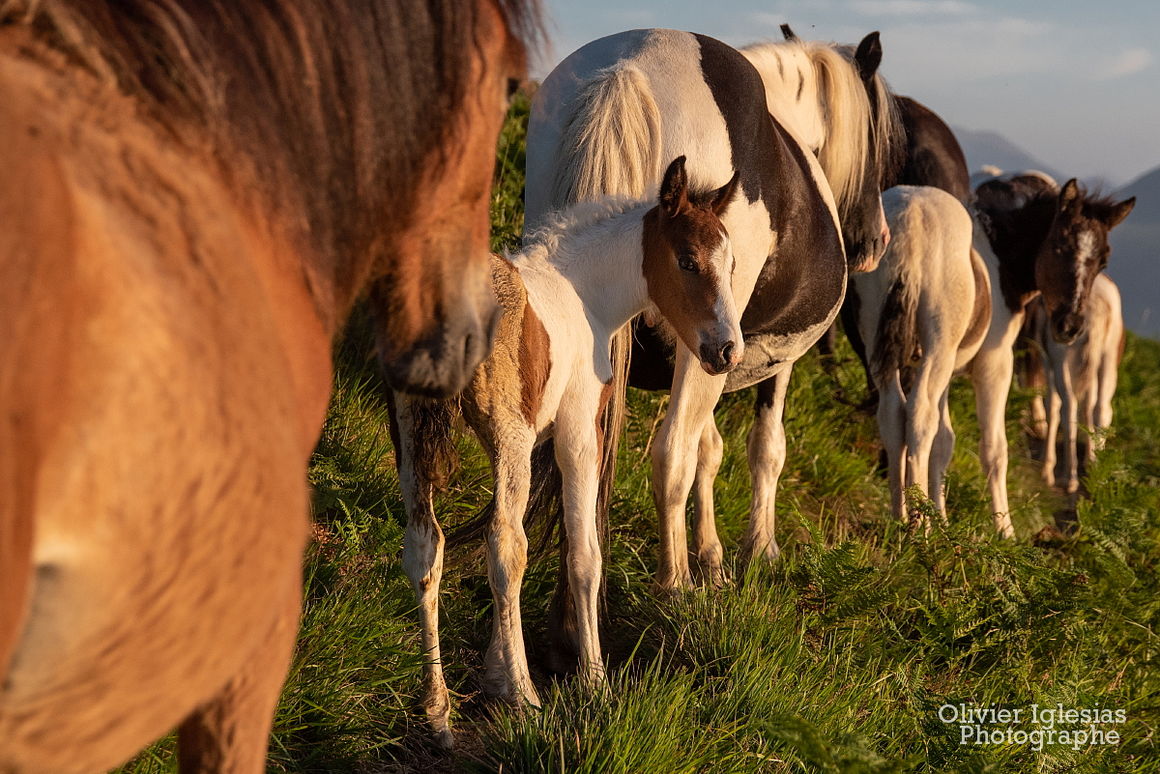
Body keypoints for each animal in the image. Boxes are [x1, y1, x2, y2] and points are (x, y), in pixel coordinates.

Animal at [385, 154, 737, 747]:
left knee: (424, 547)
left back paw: (438, 711)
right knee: (506, 546)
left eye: (734, 264)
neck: (585, 294)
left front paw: (495, 670)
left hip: (411, 431)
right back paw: (525, 697)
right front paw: (592, 680)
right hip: (509, 437)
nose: (728, 351)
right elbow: (583, 554)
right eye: (688, 260)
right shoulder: (578, 431)